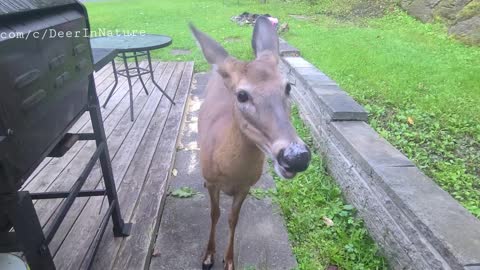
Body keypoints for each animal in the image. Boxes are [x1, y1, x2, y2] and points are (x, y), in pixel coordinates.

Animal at [189, 16, 314, 270]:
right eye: (242, 95)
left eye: (288, 86)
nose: (296, 156)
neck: (229, 170)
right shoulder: (214, 181)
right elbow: (214, 214)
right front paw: (208, 256)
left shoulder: (246, 185)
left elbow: (232, 219)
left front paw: (229, 260)